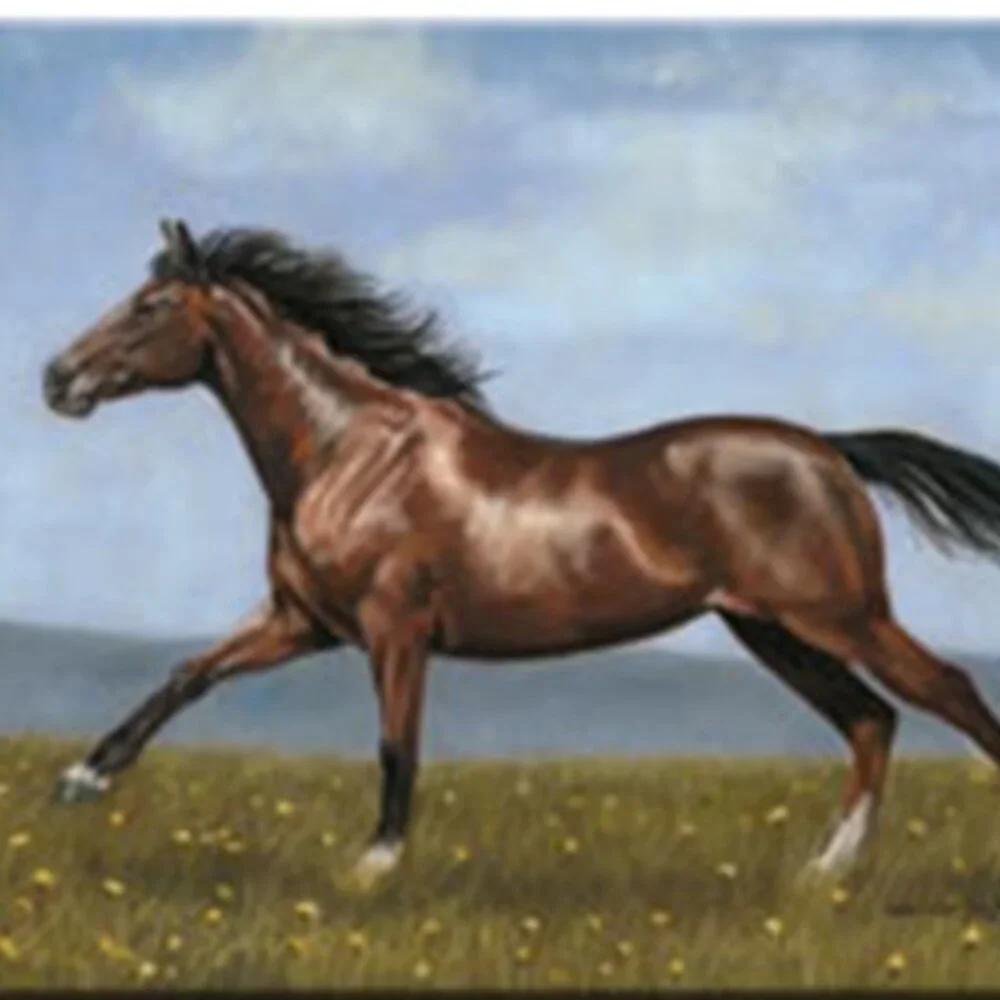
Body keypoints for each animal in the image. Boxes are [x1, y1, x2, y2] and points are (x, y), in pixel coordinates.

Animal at [42, 217, 1000, 886]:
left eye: (149, 308)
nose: (56, 378)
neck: (349, 453)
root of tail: (831, 450)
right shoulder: (301, 621)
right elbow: (186, 676)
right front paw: (82, 780)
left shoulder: (396, 631)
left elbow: (396, 744)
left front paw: (374, 867)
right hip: (773, 631)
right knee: (872, 721)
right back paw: (821, 872)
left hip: (839, 615)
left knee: (946, 691)